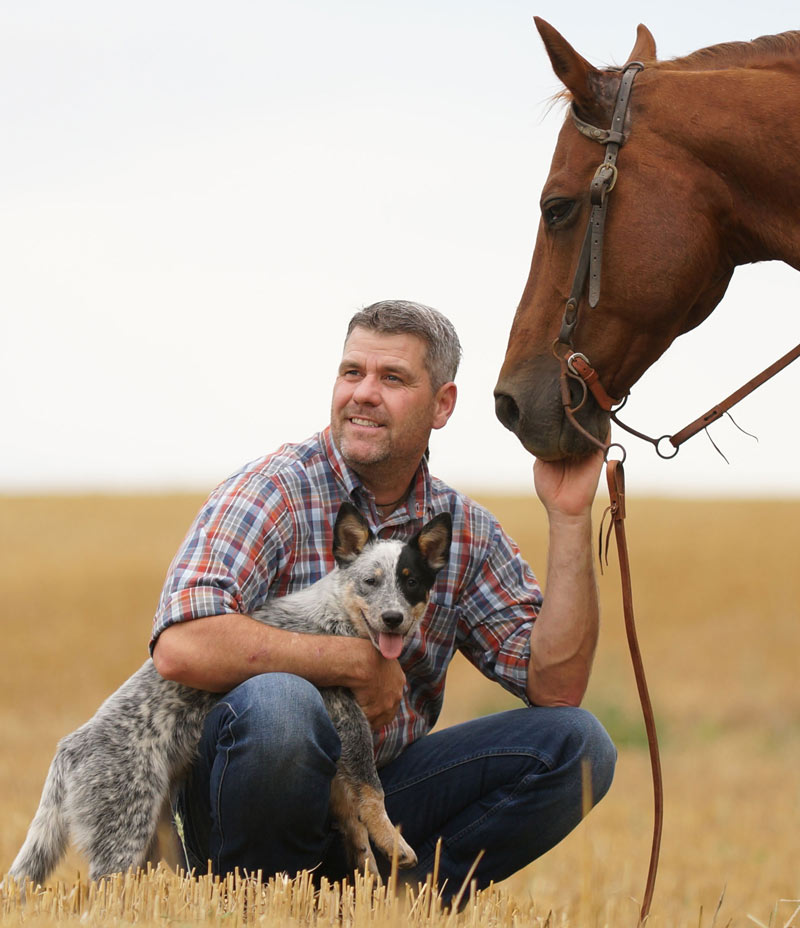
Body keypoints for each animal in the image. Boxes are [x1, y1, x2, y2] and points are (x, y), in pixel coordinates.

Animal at [6, 504, 454, 888]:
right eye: (371, 581)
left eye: (411, 581)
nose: (393, 618)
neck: (336, 617)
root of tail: (70, 748)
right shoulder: (346, 712)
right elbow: (372, 791)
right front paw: (394, 843)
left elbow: (351, 811)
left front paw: (369, 871)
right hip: (124, 833)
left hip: (152, 838)